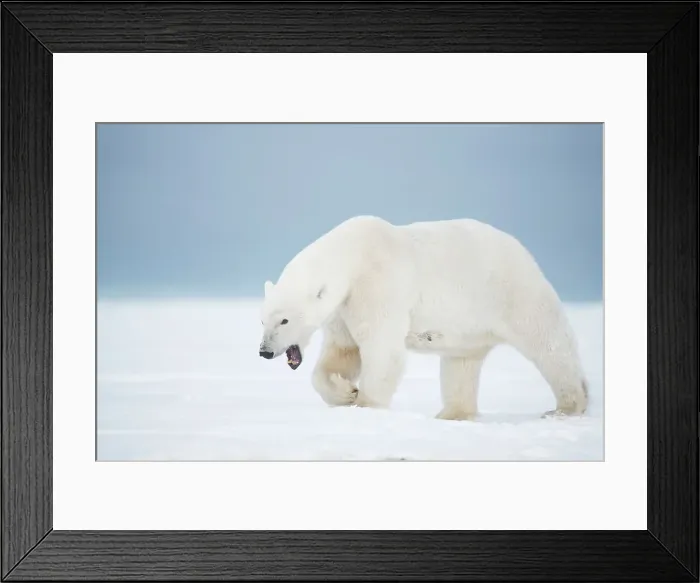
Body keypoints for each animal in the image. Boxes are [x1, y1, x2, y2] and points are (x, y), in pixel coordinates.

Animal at [258, 215, 588, 420]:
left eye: (284, 320)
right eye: (262, 320)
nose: (264, 351)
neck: (354, 255)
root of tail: (521, 250)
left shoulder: (378, 285)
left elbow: (382, 350)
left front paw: (365, 404)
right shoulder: (343, 308)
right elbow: (343, 352)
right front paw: (346, 392)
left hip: (512, 291)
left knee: (549, 342)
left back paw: (567, 406)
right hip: (468, 327)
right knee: (461, 363)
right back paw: (452, 414)